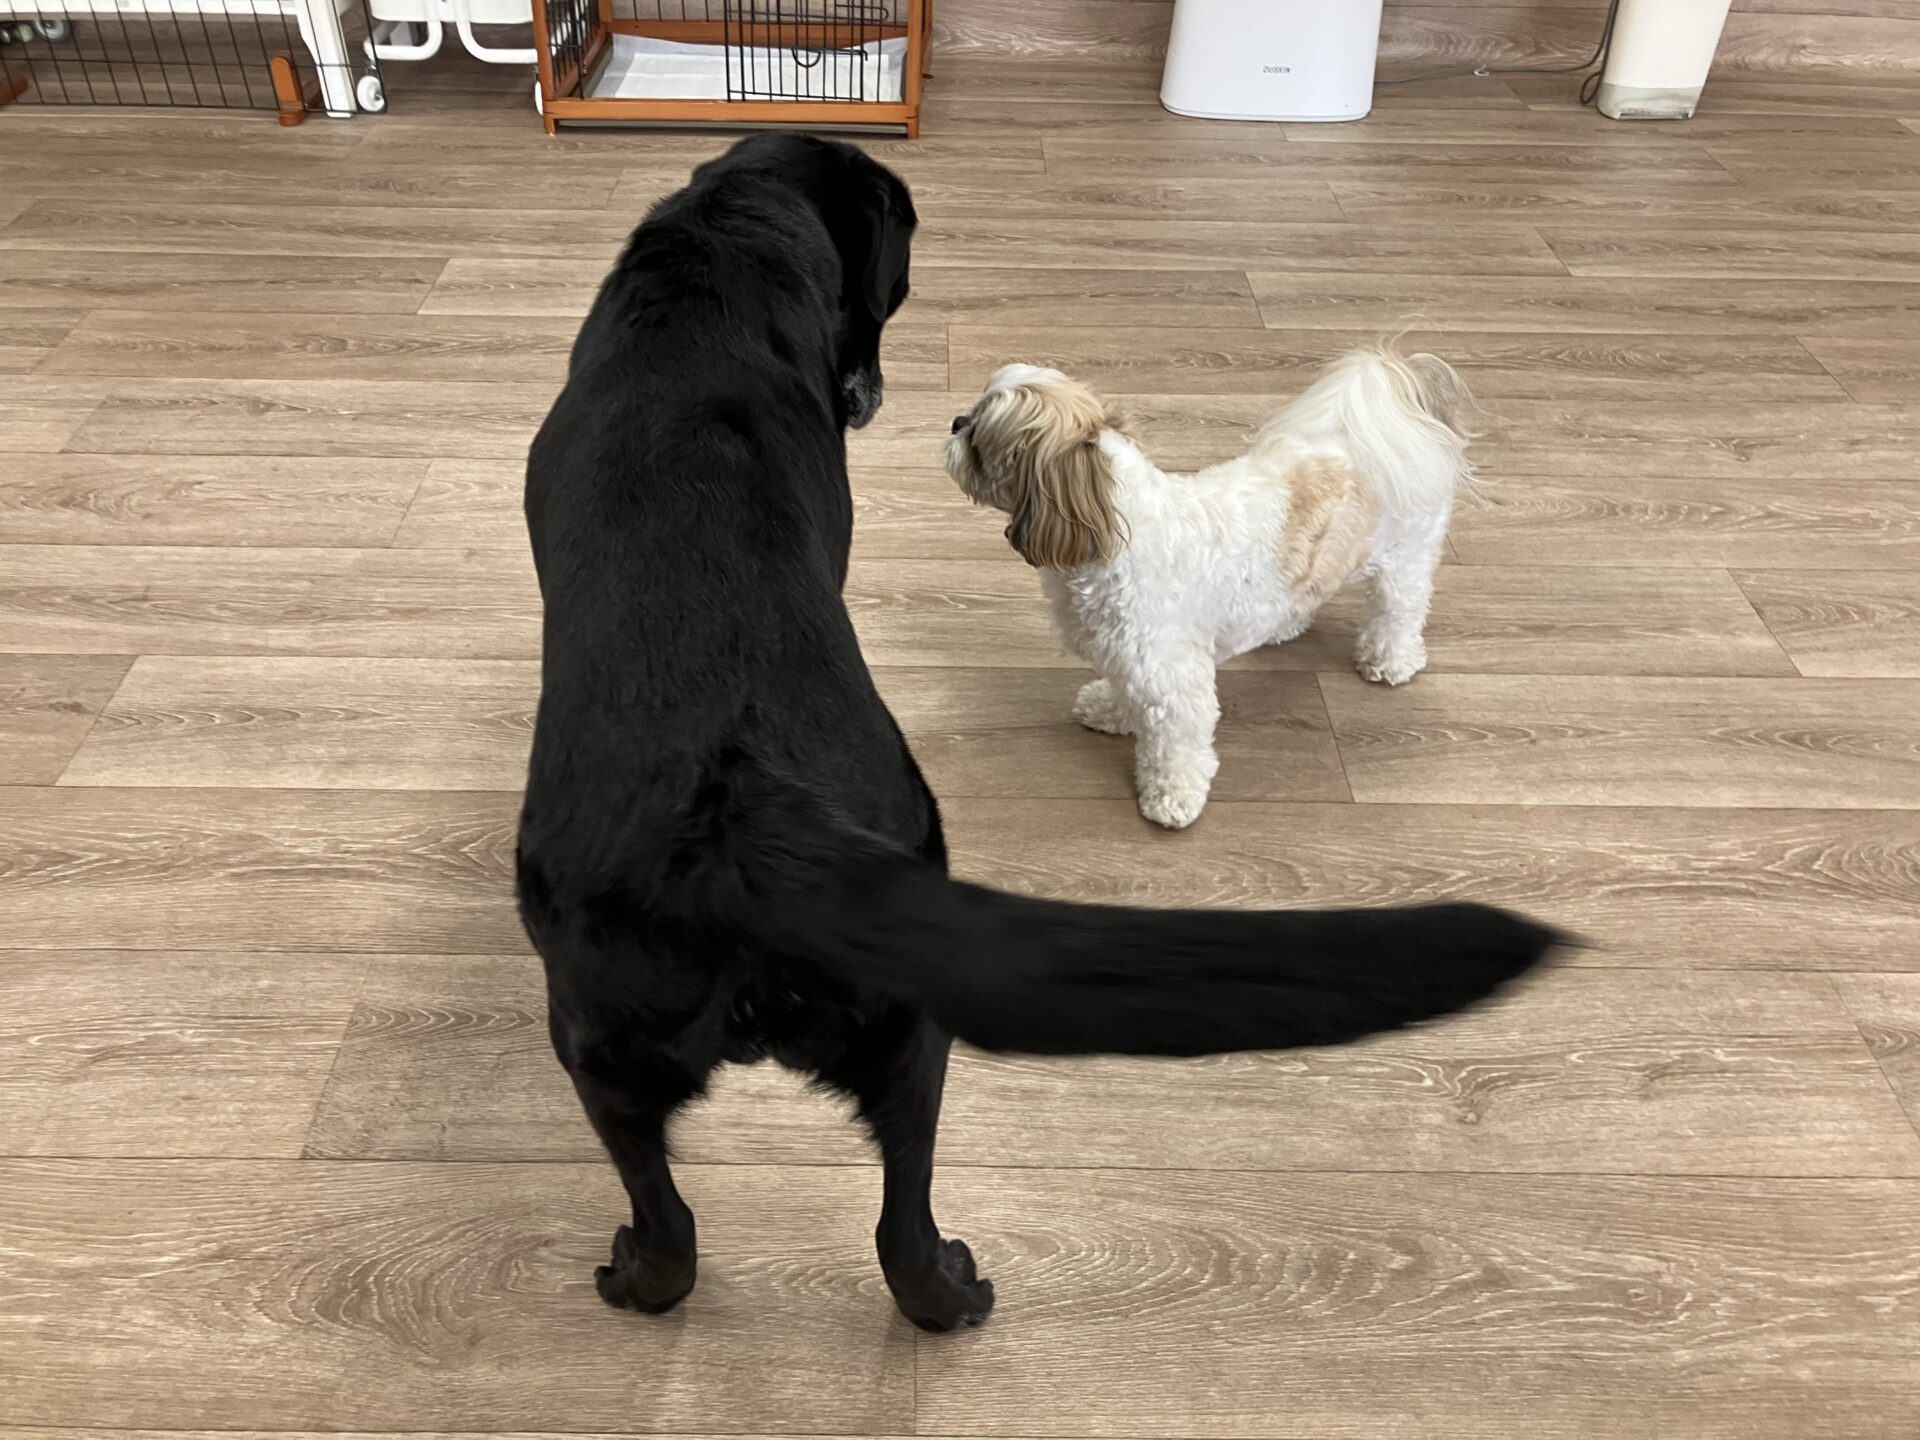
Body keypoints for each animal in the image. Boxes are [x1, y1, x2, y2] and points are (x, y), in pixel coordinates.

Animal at [945, 349, 1476, 830]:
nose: (955, 422)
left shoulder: (1174, 676)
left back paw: (1390, 660)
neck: (1113, 530)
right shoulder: (1125, 653)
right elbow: (1124, 691)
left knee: (1399, 609)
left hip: (1407, 556)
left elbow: (1176, 746)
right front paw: (1111, 711)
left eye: (981, 439)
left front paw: (1171, 798)